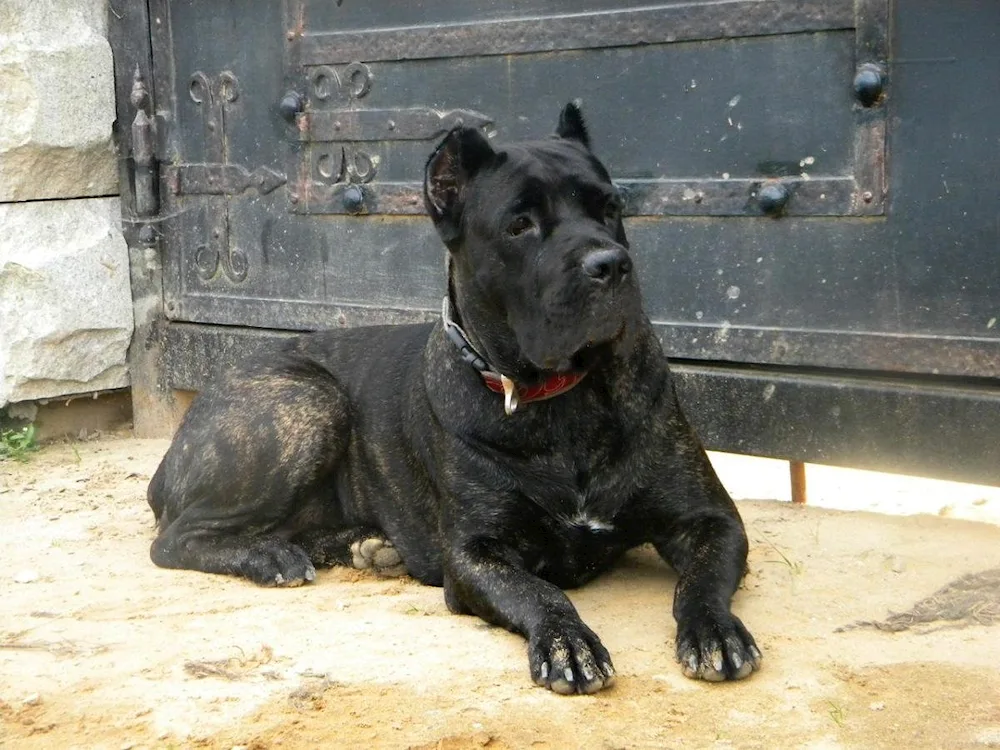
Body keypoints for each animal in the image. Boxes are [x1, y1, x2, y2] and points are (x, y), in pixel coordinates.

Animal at [146, 103, 756, 696]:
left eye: (610, 207)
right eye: (520, 225)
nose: (610, 264)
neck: (565, 399)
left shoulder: (711, 519)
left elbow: (701, 581)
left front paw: (715, 630)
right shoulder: (474, 553)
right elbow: (539, 592)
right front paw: (567, 641)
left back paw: (367, 546)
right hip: (311, 402)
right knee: (174, 540)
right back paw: (270, 555)